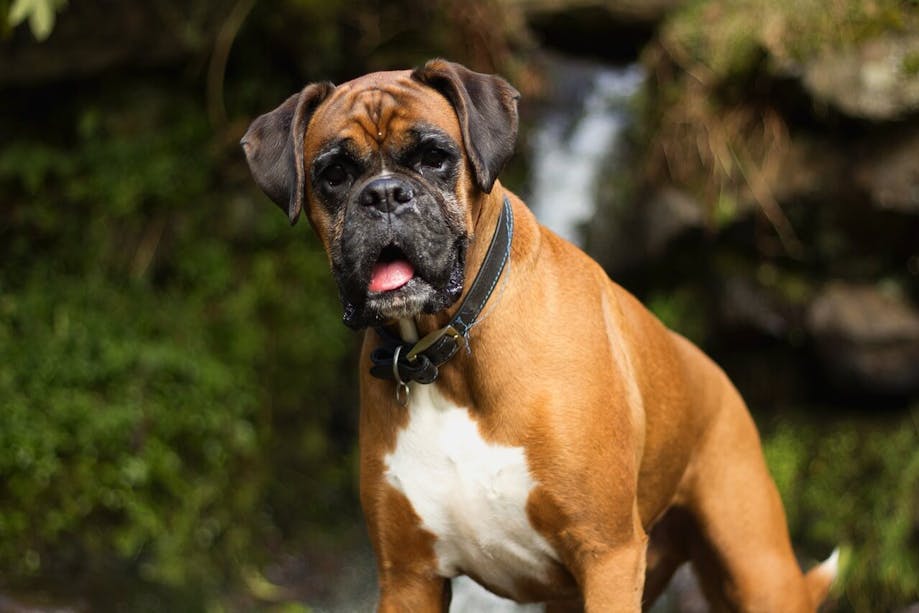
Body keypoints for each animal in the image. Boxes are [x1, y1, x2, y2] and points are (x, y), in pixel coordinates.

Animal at [241, 58, 836, 612]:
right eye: (334, 173)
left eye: (434, 157)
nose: (385, 194)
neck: (448, 354)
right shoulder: (409, 578)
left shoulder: (608, 555)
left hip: (759, 570)